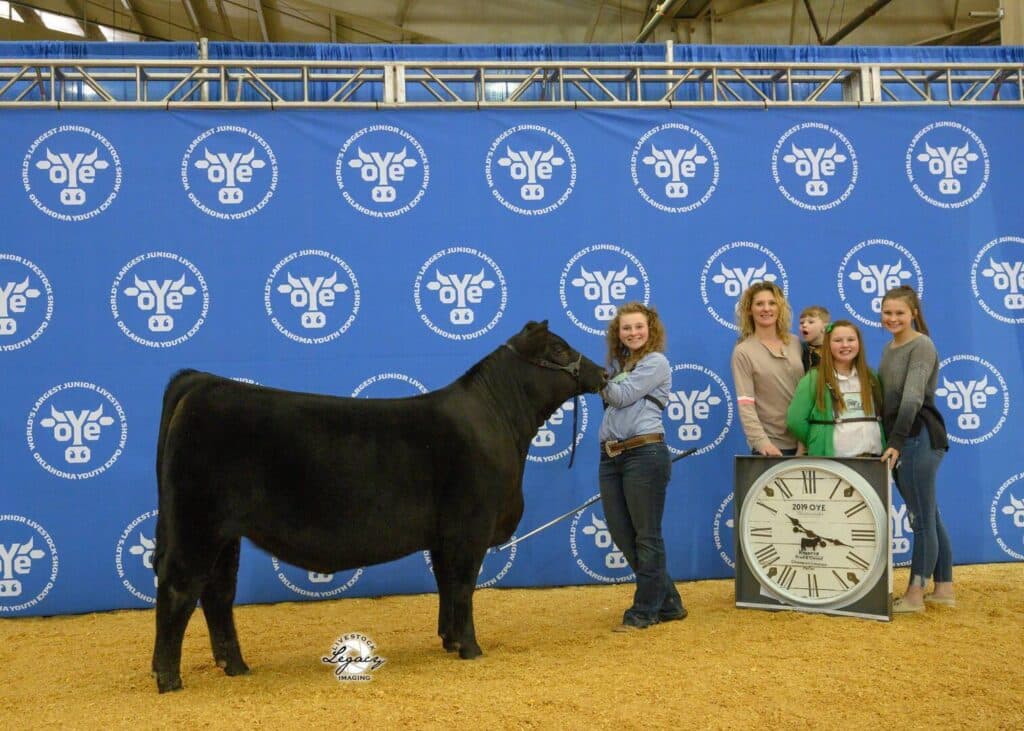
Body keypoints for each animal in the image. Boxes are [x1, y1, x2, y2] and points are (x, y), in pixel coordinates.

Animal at [151, 320, 606, 692]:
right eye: (559, 349)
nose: (602, 372)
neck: (499, 423)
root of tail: (203, 383)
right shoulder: (469, 528)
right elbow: (463, 587)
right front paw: (471, 648)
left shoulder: (443, 537)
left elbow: (445, 585)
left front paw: (450, 640)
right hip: (197, 524)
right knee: (178, 588)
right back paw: (168, 677)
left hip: (225, 533)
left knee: (218, 594)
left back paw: (235, 666)